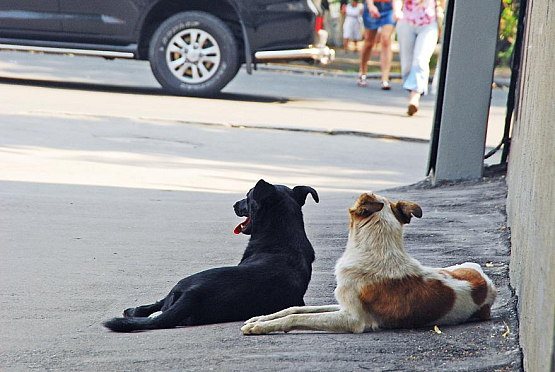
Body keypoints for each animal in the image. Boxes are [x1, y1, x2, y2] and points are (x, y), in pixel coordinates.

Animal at [103, 179, 320, 332]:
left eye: (247, 196)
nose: (234, 204)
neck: (283, 234)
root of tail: (194, 294)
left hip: (180, 284)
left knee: (157, 307)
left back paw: (134, 312)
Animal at [241, 192, 498, 334]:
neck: (378, 250)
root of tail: (487, 284)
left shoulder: (353, 319)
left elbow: (298, 318)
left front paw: (259, 327)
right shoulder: (344, 305)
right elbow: (296, 309)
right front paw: (259, 319)